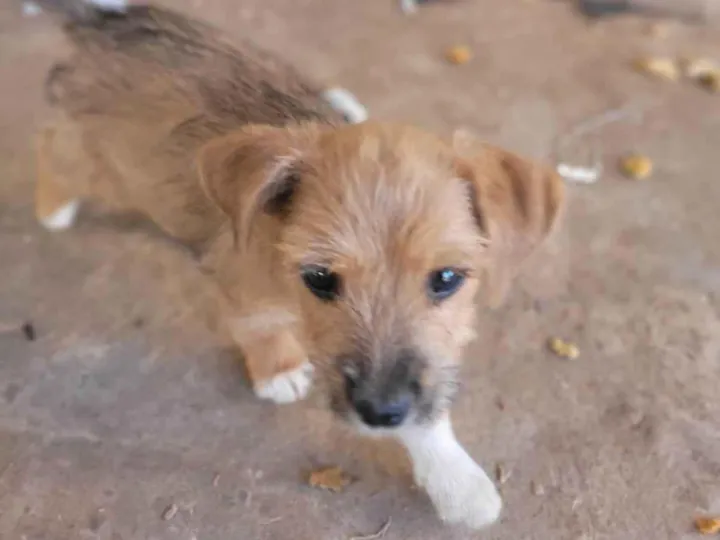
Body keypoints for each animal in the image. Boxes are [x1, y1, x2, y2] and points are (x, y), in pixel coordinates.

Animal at [32, 2, 564, 529]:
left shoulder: (426, 366)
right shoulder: (247, 295)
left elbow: (430, 411)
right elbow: (263, 332)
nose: (378, 413)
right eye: (320, 278)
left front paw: (459, 484)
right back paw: (52, 207)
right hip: (97, 163)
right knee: (56, 151)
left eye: (447, 278)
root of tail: (106, 23)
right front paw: (280, 372)